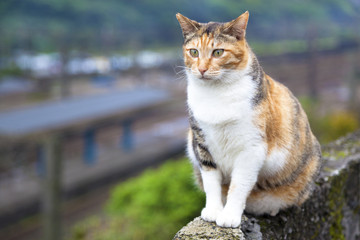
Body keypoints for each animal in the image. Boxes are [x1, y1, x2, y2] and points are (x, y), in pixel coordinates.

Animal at [176, 11, 322, 228]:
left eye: (218, 52)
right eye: (193, 52)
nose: (201, 69)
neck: (216, 93)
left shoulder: (251, 148)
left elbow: (239, 184)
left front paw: (229, 215)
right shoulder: (201, 143)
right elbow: (211, 183)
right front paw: (213, 210)